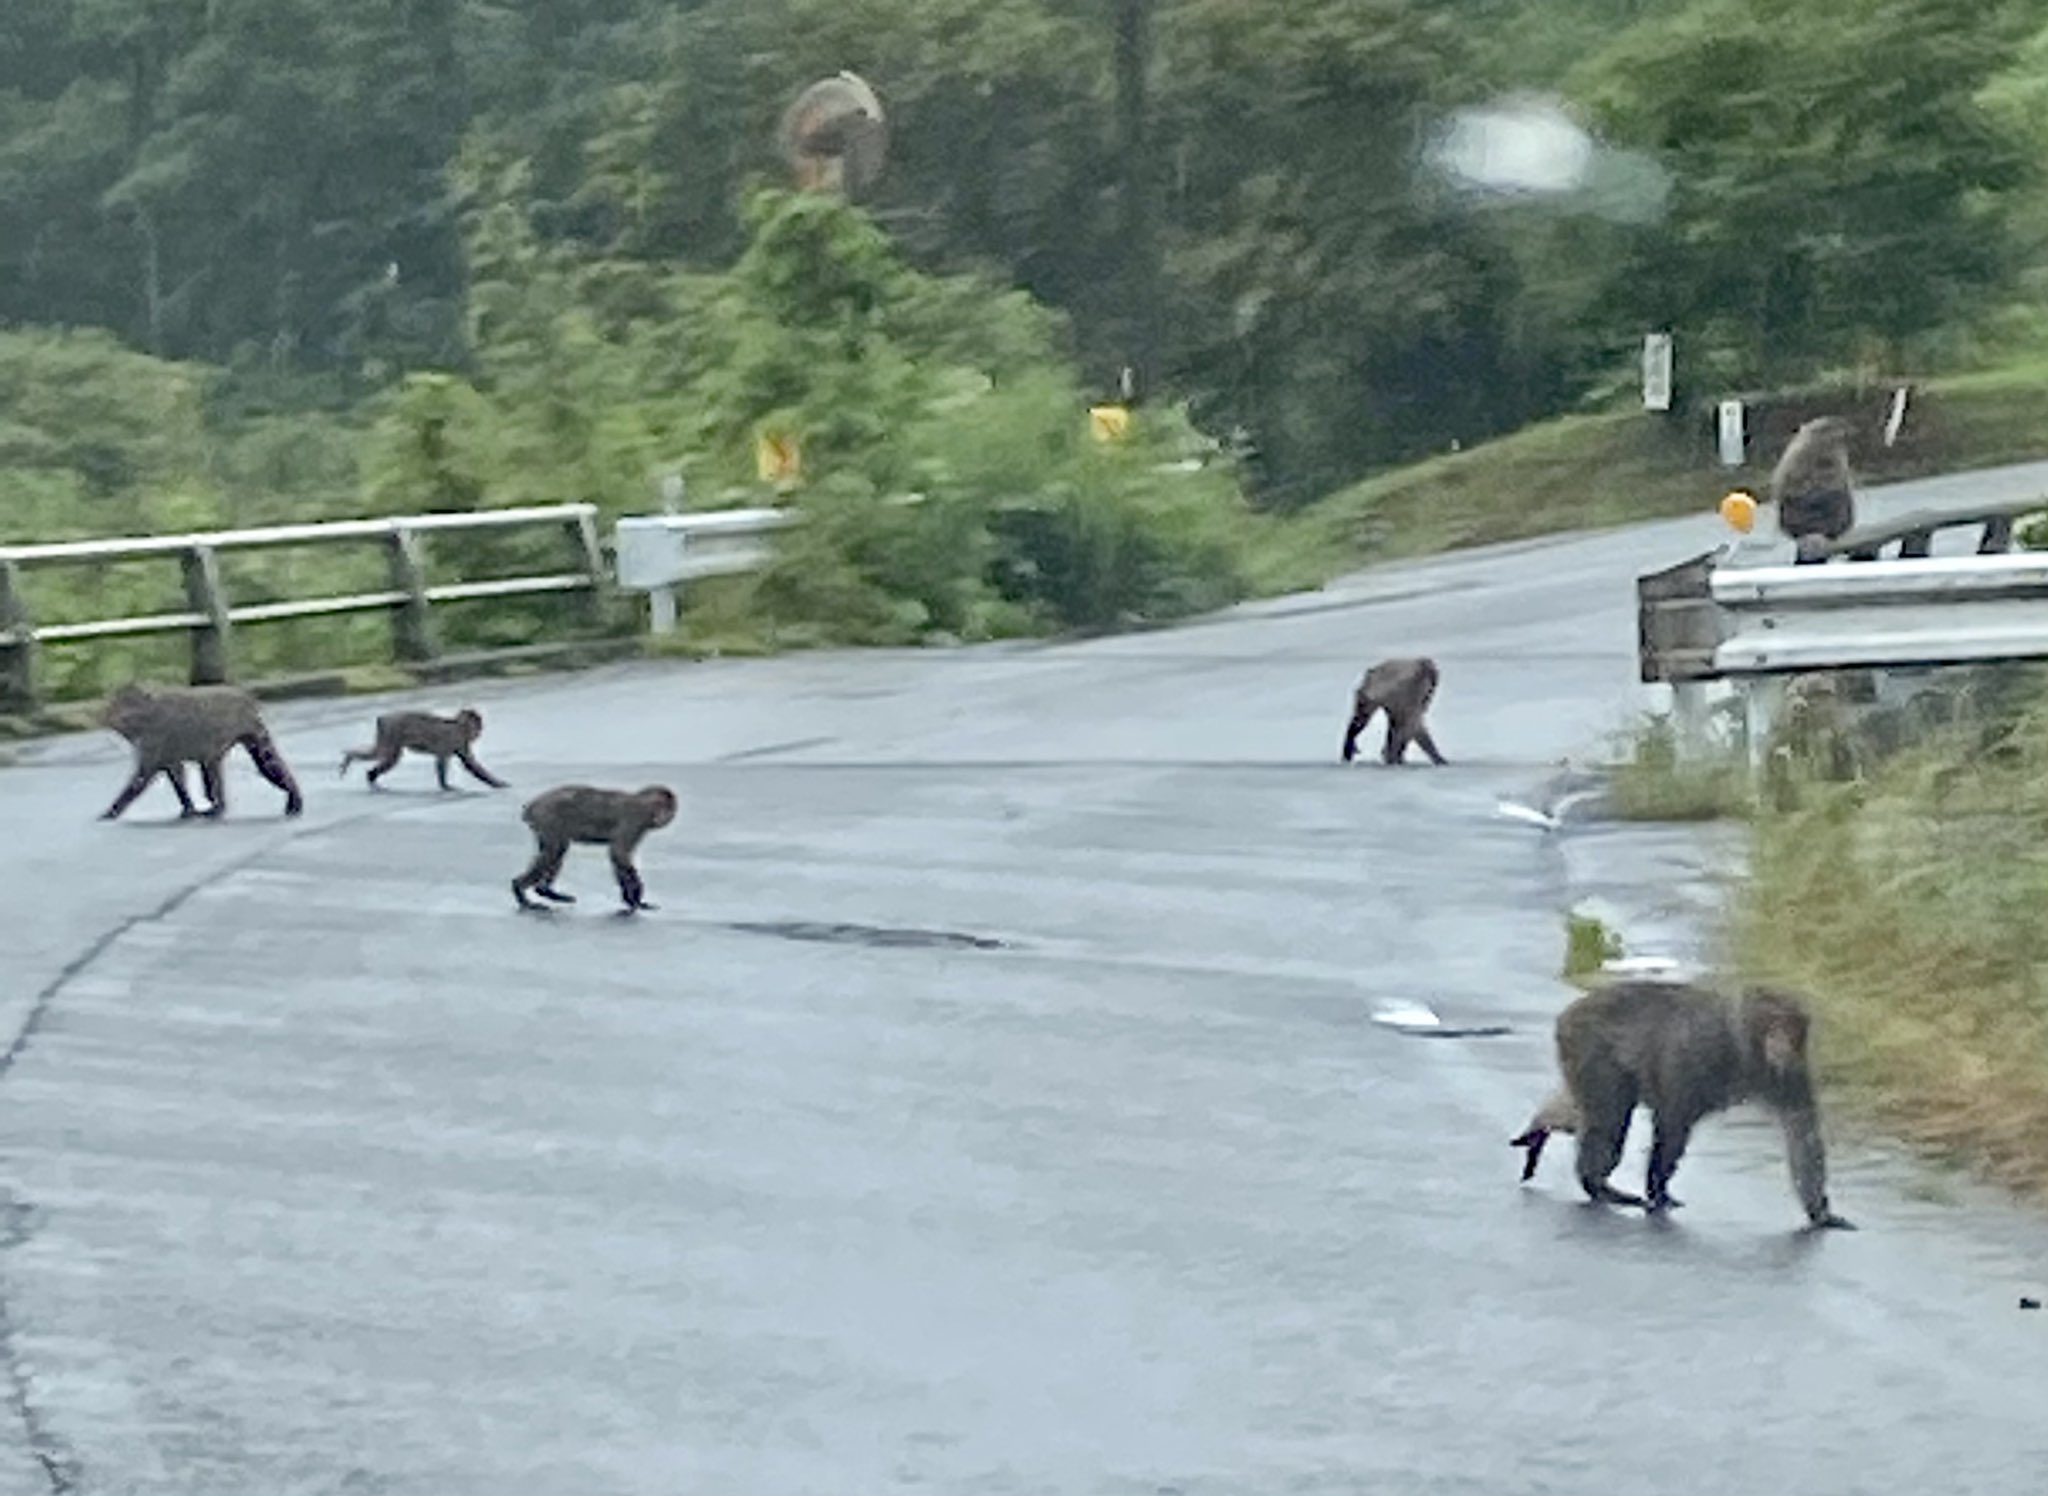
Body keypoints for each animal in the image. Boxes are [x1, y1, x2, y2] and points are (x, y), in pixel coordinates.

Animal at [97, 680, 303, 819]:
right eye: (115, 708)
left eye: (128, 710)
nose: (113, 717)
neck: (147, 716)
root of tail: (246, 699)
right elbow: (177, 773)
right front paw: (187, 805)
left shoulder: (155, 738)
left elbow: (141, 777)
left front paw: (113, 810)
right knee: (261, 760)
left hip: (243, 729)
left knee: (255, 761)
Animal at [339, 700, 507, 786]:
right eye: (478, 723)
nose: (480, 730)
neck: (459, 726)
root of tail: (383, 717)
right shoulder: (455, 738)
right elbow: (445, 762)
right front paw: (445, 785)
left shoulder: (460, 741)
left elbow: (470, 764)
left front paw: (496, 782)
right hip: (391, 732)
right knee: (389, 756)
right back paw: (364, 769)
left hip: (386, 733)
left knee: (381, 754)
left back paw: (365, 770)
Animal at [512, 782, 679, 909]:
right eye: (660, 807)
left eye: (667, 809)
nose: (662, 816)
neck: (644, 805)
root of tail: (532, 805)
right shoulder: (636, 819)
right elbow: (618, 853)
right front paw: (636, 897)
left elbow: (617, 857)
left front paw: (629, 898)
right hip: (547, 817)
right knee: (554, 851)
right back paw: (521, 890)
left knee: (557, 851)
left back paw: (545, 891)